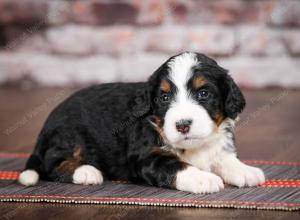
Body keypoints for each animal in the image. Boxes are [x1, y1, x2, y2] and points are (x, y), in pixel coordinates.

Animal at [18, 52, 264, 193]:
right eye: (164, 97)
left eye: (204, 93)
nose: (183, 124)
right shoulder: (146, 156)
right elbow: (176, 165)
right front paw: (203, 178)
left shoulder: (217, 143)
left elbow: (223, 157)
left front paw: (245, 170)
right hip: (69, 134)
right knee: (52, 162)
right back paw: (87, 172)